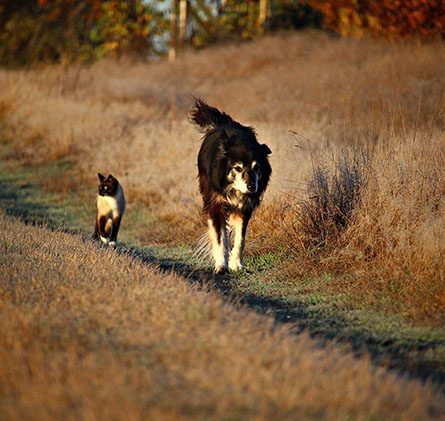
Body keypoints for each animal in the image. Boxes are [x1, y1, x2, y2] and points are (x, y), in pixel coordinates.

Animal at [188, 97, 270, 274]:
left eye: (257, 167)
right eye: (238, 168)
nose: (252, 187)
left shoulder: (244, 208)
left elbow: (240, 239)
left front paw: (236, 264)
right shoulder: (216, 204)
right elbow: (220, 238)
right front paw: (221, 266)